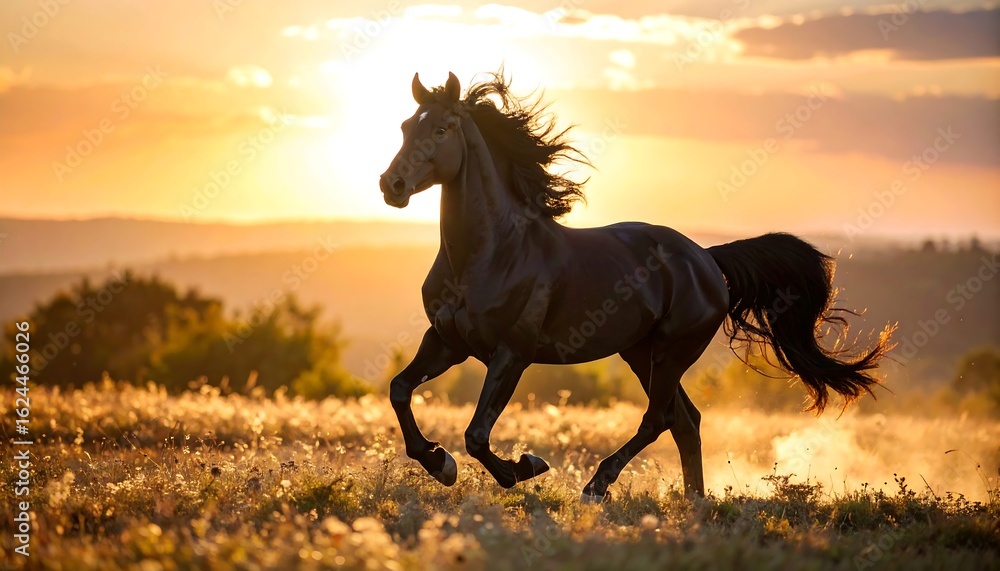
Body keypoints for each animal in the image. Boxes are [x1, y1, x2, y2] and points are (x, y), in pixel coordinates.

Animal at [378, 71, 893, 503]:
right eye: (404, 126)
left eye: (441, 129)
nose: (391, 185)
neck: (487, 255)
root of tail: (707, 259)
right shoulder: (448, 342)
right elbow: (400, 390)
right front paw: (438, 462)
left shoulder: (511, 354)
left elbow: (477, 435)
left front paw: (524, 466)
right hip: (640, 351)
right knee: (685, 420)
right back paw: (694, 501)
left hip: (670, 351)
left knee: (660, 418)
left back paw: (597, 486)